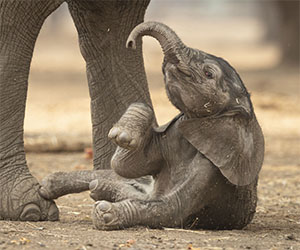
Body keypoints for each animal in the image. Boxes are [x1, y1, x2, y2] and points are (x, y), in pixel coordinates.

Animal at [90, 22, 264, 230]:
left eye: (208, 73)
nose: (130, 43)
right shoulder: (172, 133)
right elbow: (126, 165)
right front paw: (123, 135)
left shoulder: (214, 164)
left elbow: (171, 210)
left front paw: (104, 213)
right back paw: (98, 187)